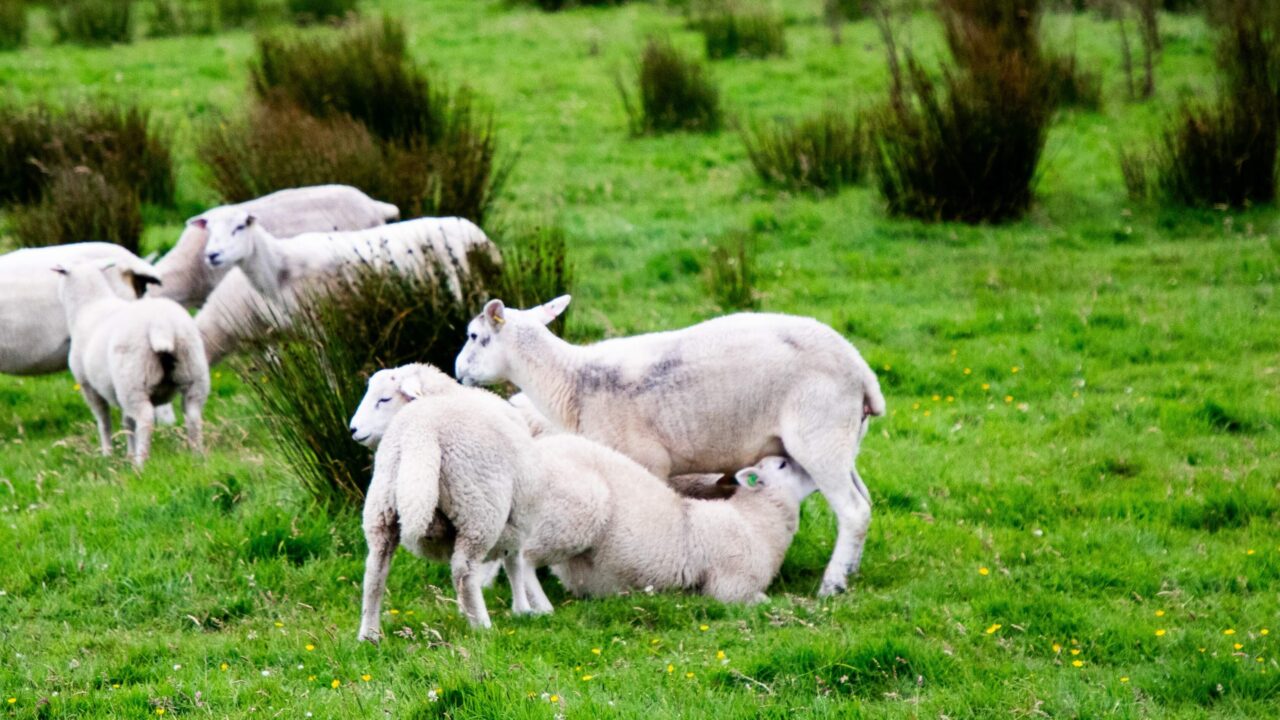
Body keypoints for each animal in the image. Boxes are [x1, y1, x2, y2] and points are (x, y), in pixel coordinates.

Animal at [56, 261, 210, 468]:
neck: (89, 306)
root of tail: (161, 324)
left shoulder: (88, 386)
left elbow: (104, 422)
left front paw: (108, 453)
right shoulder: (117, 392)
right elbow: (127, 422)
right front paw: (128, 452)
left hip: (134, 381)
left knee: (145, 419)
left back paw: (140, 463)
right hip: (193, 372)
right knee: (192, 414)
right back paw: (197, 456)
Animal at [195, 214, 495, 364]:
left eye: (239, 227)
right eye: (208, 231)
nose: (212, 255)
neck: (279, 267)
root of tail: (475, 233)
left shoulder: (321, 327)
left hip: (458, 290)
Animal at [454, 296, 885, 597]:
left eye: (474, 336)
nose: (457, 372)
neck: (572, 382)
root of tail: (863, 371)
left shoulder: (645, 461)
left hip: (819, 434)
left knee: (853, 510)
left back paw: (832, 585)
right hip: (844, 439)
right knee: (865, 501)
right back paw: (851, 570)